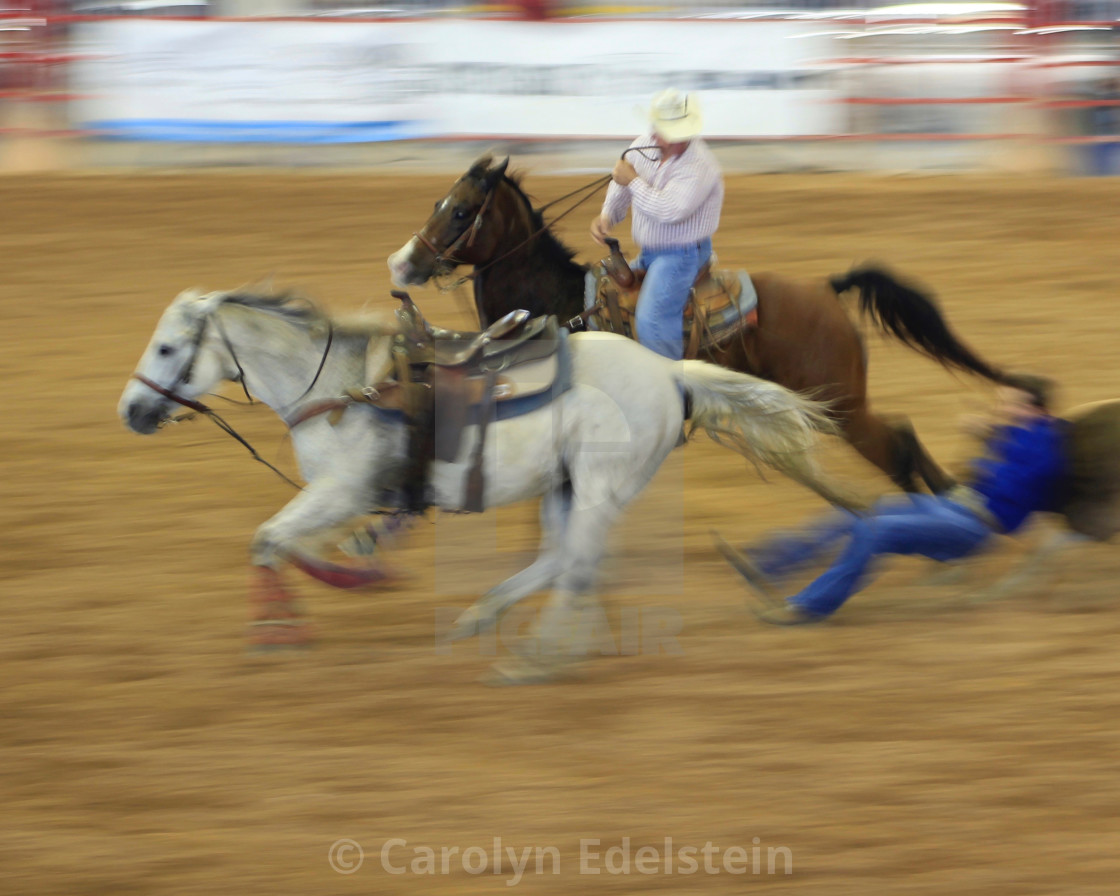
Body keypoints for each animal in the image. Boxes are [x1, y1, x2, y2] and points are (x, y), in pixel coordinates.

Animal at [115, 291, 846, 680]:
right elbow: (281, 542)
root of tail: (669, 372)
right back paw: (490, 619)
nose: (131, 411)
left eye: (167, 348)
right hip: (563, 485)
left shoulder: (343, 491)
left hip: (600, 484)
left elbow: (267, 539)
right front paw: (344, 579)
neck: (339, 388)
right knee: (560, 559)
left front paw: (284, 625)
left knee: (578, 564)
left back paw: (538, 655)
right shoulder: (340, 496)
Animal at [389, 154, 1021, 490]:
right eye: (440, 203)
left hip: (837, 400)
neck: (563, 306)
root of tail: (825, 290)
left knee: (896, 446)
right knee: (902, 440)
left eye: (462, 211)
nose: (403, 261)